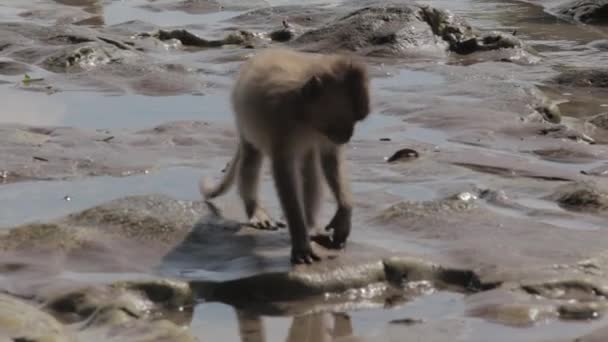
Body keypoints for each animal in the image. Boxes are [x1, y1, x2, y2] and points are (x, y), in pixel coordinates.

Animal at [201, 46, 370, 264]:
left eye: (356, 120)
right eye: (345, 120)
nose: (349, 135)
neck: (303, 113)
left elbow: (330, 158)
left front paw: (344, 213)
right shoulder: (281, 120)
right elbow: (284, 170)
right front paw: (300, 243)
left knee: (309, 164)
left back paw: (311, 225)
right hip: (243, 120)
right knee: (251, 156)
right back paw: (255, 209)